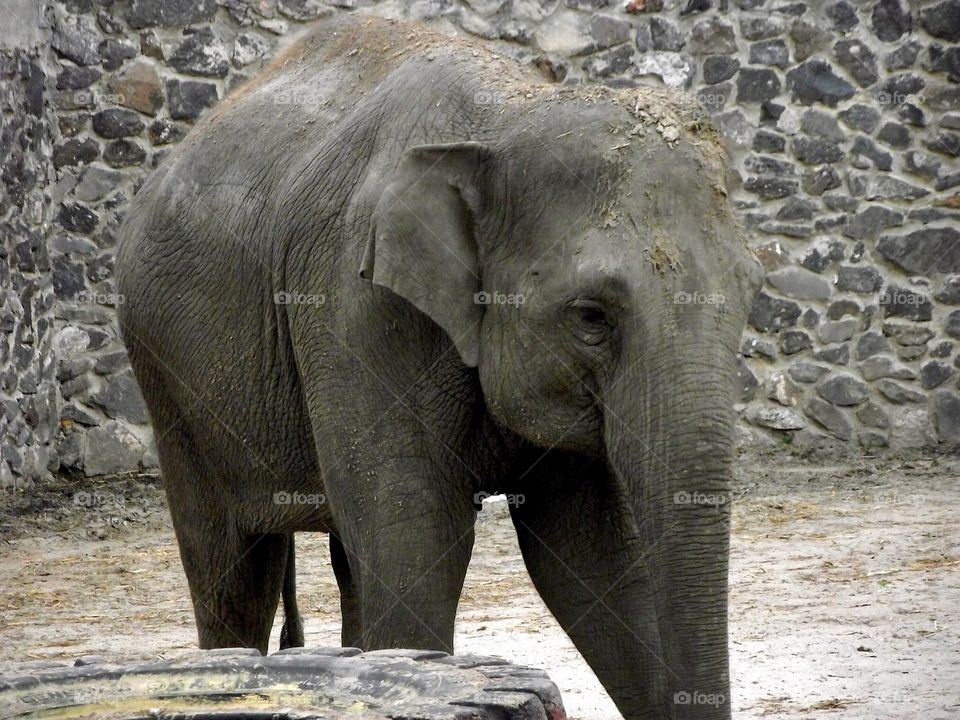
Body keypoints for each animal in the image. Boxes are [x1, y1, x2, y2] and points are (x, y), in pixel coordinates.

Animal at [116, 13, 762, 720]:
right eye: (591, 316)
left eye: (750, 294)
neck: (508, 112)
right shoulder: (356, 308)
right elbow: (417, 538)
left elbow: (591, 557)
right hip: (166, 374)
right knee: (231, 570)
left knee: (346, 561)